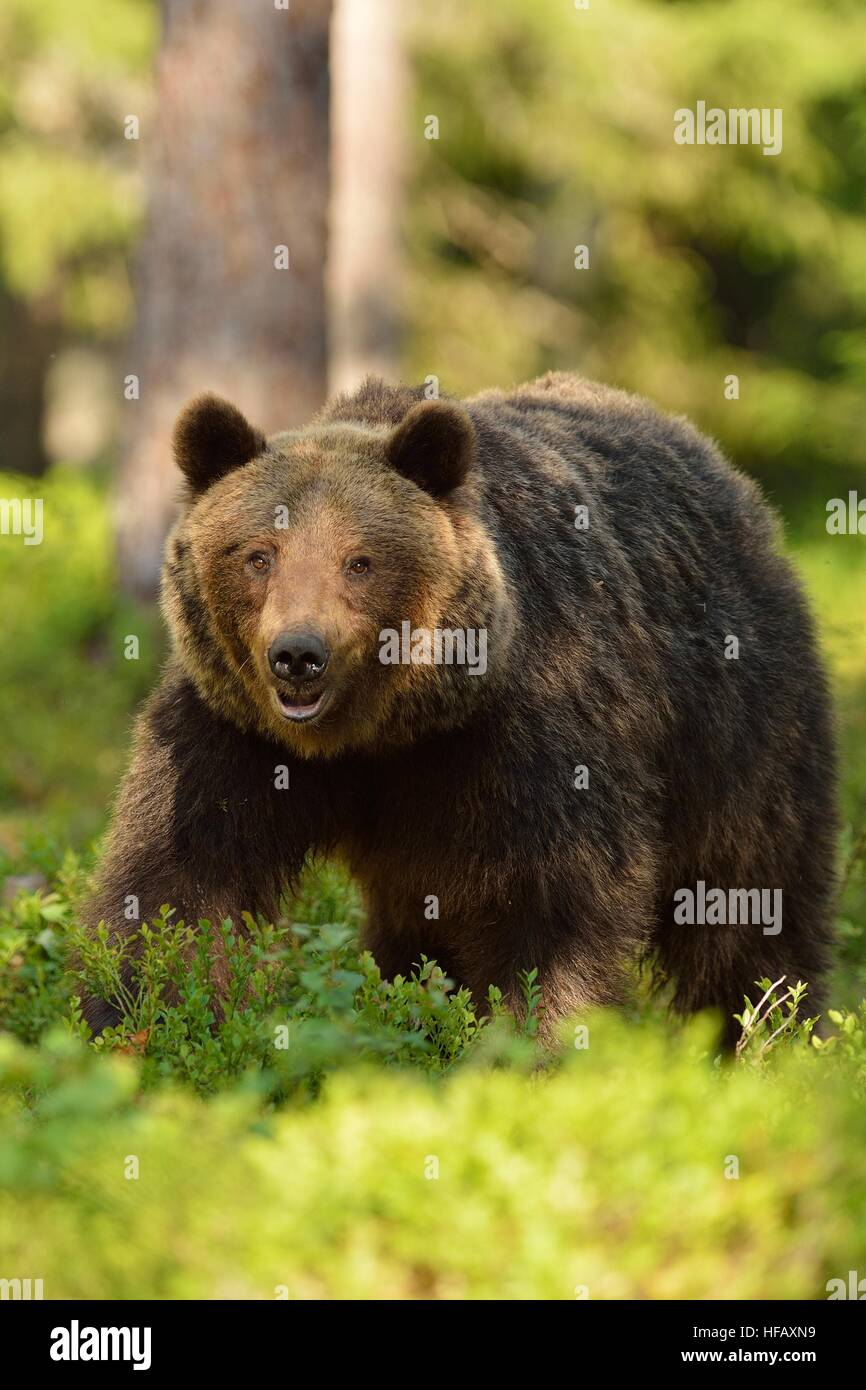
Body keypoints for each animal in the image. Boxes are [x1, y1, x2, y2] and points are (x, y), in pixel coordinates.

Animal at [80, 372, 837, 1045]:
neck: (381, 733)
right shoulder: (232, 732)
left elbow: (552, 900)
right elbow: (177, 879)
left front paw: (535, 1037)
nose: (297, 655)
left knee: (749, 899)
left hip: (739, 725)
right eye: (258, 555)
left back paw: (769, 1034)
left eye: (360, 560)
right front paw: (135, 1018)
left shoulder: (528, 730)